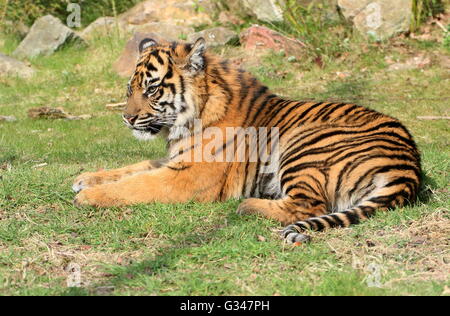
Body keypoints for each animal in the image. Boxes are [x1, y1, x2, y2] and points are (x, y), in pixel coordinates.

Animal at [73, 37, 422, 244]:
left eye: (152, 89)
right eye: (129, 89)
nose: (127, 118)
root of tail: (408, 168)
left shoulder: (189, 176)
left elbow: (138, 184)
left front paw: (89, 196)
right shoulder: (174, 160)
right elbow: (135, 167)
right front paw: (85, 179)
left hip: (303, 143)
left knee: (309, 204)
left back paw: (248, 205)